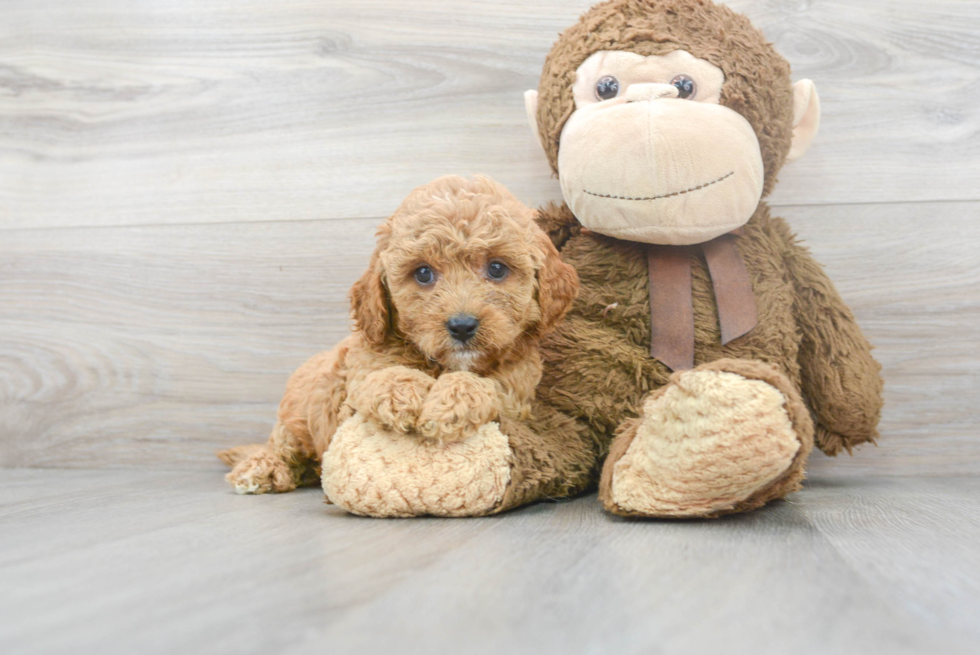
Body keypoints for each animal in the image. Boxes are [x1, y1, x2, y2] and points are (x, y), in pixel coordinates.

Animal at [218, 177, 580, 494]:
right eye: (423, 273)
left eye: (497, 268)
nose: (462, 326)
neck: (442, 364)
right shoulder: (355, 386)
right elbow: (384, 374)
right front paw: (401, 395)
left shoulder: (517, 393)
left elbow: (485, 384)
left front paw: (449, 406)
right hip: (297, 414)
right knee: (281, 446)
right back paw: (260, 469)